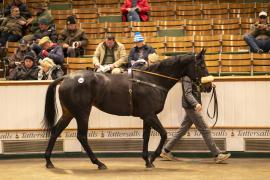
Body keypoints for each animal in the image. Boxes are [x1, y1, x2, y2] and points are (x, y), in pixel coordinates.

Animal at [43, 48, 209, 169]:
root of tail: (66, 77)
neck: (152, 80)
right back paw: (99, 163)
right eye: (201, 66)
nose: (207, 86)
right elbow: (163, 134)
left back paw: (49, 161)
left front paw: (147, 160)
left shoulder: (147, 117)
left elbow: (146, 137)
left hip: (69, 113)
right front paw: (153, 157)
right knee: (82, 136)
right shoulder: (150, 115)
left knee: (56, 131)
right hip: (82, 113)